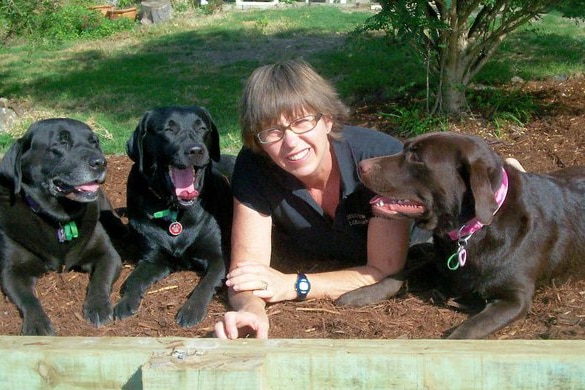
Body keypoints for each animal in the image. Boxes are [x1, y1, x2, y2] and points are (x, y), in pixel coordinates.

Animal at [0, 119, 121, 336]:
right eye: (61, 143)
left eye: (94, 142)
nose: (100, 162)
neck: (60, 218)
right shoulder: (11, 271)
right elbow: (28, 299)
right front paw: (37, 324)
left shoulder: (107, 254)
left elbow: (100, 280)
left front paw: (98, 307)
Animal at [113, 105, 232, 328]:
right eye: (168, 130)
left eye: (202, 128)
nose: (195, 150)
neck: (175, 209)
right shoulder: (153, 259)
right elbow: (133, 280)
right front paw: (125, 303)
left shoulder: (218, 257)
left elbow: (206, 284)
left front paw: (191, 310)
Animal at [336, 132, 584, 338]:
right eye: (405, 147)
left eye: (416, 157)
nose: (361, 166)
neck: (471, 232)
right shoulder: (437, 264)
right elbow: (397, 277)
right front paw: (359, 294)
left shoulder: (515, 298)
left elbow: (469, 328)